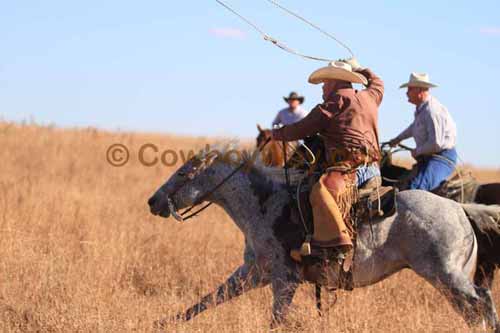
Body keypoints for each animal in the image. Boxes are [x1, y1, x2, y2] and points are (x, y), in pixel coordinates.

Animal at [146, 145, 498, 330]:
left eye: (182, 173)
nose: (152, 201)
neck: (266, 203)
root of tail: (461, 208)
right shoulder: (253, 273)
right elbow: (209, 299)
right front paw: (165, 321)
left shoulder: (284, 279)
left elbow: (276, 319)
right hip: (448, 279)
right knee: (473, 309)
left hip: (445, 274)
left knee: (481, 300)